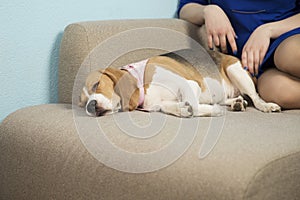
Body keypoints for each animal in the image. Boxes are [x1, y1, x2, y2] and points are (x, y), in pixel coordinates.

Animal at [78, 48, 282, 117]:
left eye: (96, 84)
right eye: (82, 103)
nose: (90, 106)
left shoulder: (190, 84)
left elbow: (193, 103)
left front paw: (207, 111)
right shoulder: (158, 104)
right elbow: (167, 106)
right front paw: (183, 109)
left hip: (236, 71)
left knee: (256, 97)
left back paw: (266, 106)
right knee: (228, 99)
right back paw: (237, 103)